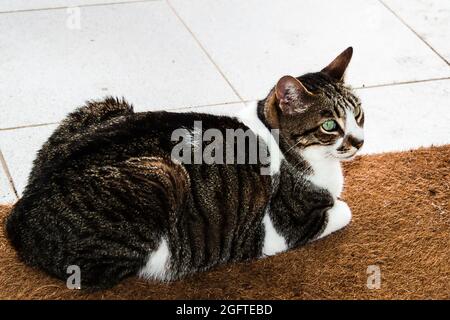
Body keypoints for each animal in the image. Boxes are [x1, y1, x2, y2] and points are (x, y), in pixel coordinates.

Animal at [6, 47, 366, 290]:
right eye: (331, 125)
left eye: (359, 114)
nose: (360, 141)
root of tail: (20, 213)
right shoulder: (283, 226)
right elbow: (344, 209)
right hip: (163, 176)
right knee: (96, 272)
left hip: (108, 104)